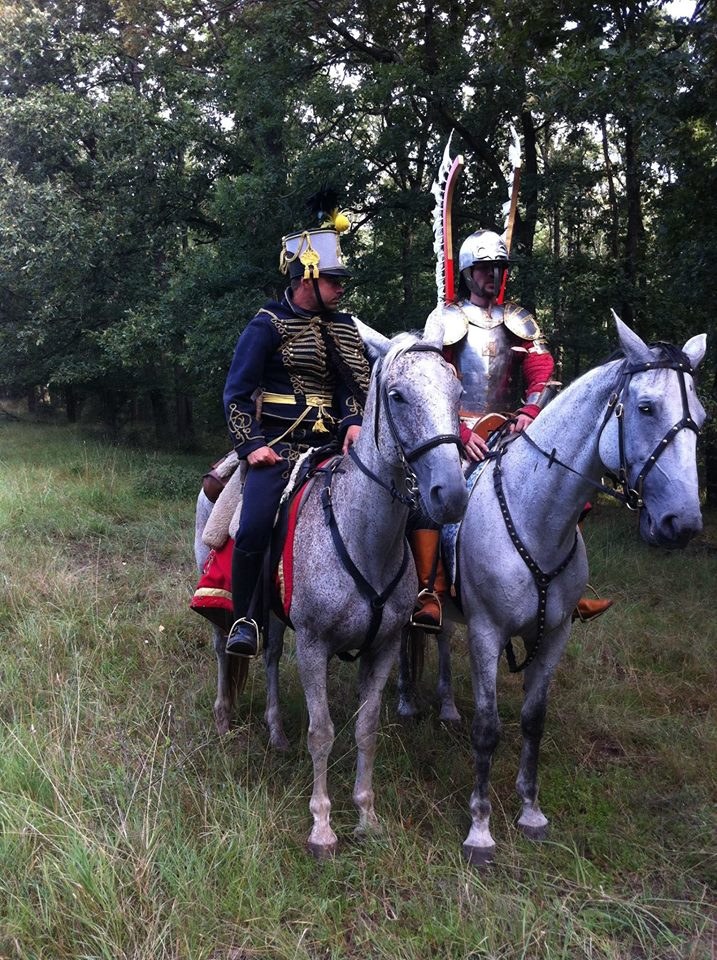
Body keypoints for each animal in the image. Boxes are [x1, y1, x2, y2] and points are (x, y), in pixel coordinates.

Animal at [196, 330, 468, 856]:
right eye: (398, 396)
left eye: (458, 392)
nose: (451, 494)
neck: (363, 536)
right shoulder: (314, 644)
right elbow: (322, 732)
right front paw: (322, 827)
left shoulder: (383, 648)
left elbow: (366, 729)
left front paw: (366, 815)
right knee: (224, 648)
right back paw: (222, 719)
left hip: (273, 615)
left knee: (270, 656)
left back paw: (276, 731)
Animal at [402, 318, 704, 868]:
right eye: (647, 408)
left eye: (703, 419)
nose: (683, 523)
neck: (537, 515)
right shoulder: (487, 633)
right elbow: (488, 728)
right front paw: (480, 831)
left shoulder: (554, 635)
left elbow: (532, 719)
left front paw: (531, 812)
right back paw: (407, 701)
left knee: (440, 637)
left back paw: (447, 706)